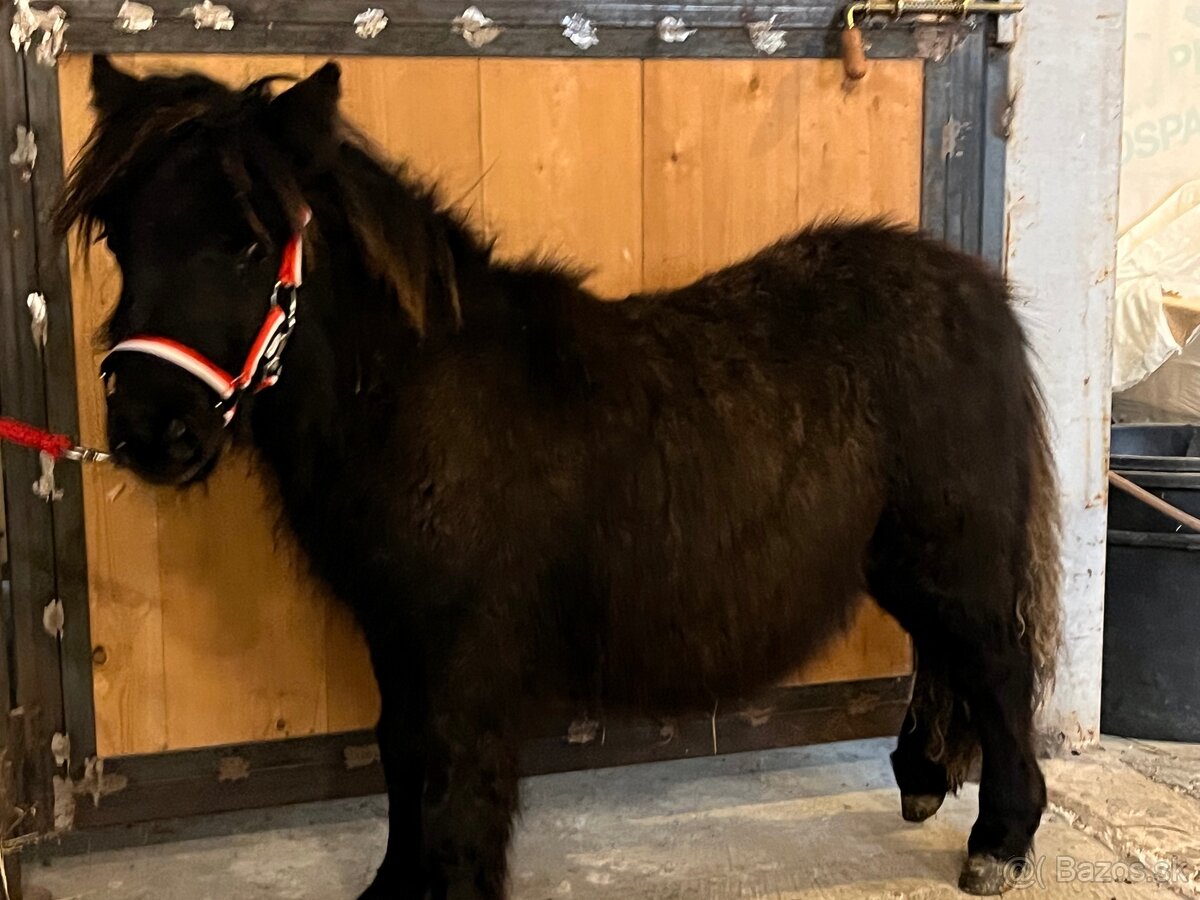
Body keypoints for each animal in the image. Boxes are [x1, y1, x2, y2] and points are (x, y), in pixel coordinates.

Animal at [59, 57, 1061, 899]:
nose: (152, 431)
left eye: (247, 244)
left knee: (997, 667)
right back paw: (926, 780)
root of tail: (974, 289)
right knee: (946, 659)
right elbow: (401, 756)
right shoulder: (401, 636)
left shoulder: (463, 651)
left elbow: (452, 775)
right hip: (903, 561)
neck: (420, 399)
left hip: (951, 555)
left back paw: (1000, 841)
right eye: (118, 237)